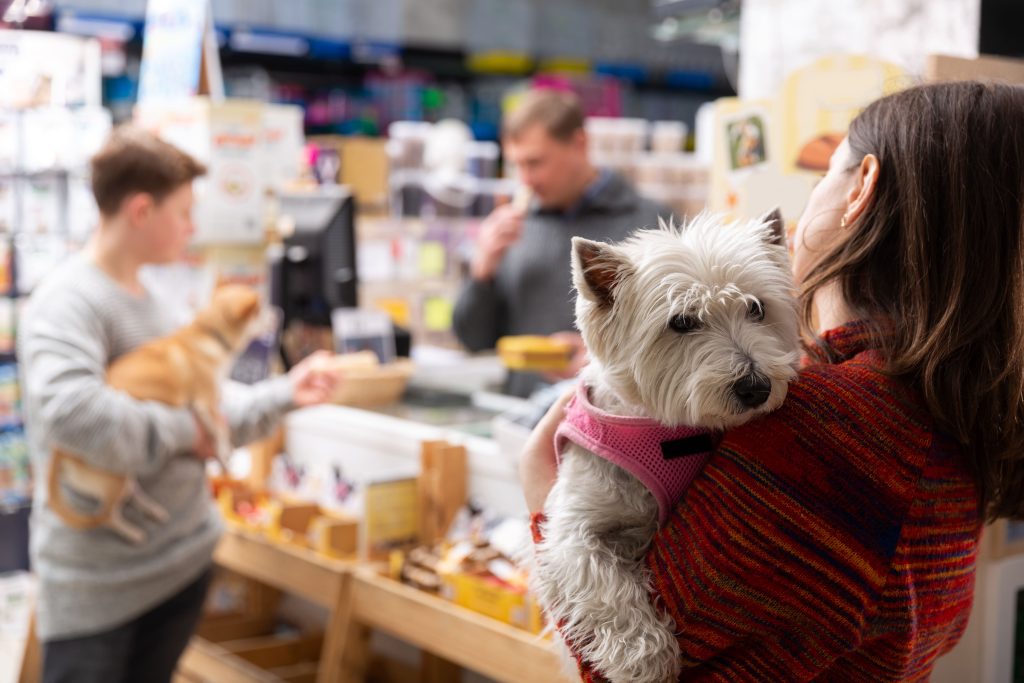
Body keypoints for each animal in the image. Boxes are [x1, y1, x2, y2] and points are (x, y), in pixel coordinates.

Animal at [48, 284, 264, 544]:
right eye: (262, 310)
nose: (278, 313)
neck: (208, 334)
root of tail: (59, 451)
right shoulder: (205, 404)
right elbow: (220, 432)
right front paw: (225, 458)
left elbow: (221, 431)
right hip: (114, 480)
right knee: (109, 515)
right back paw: (131, 532)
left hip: (125, 474)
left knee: (132, 493)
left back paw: (152, 509)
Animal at [532, 211, 802, 683]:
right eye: (682, 322)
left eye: (756, 308)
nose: (756, 387)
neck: (664, 429)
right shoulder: (573, 527)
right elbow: (602, 582)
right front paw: (645, 659)